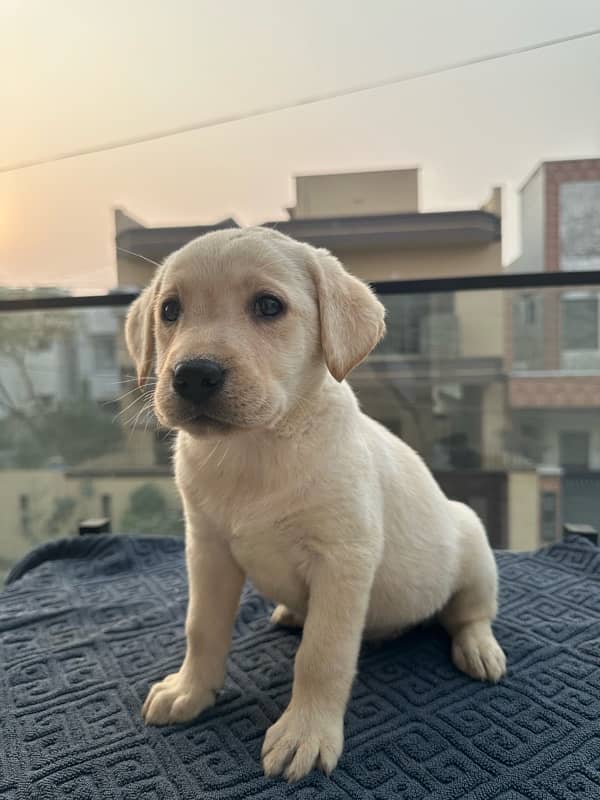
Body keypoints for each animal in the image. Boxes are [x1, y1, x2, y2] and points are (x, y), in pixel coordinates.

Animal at [126, 225, 506, 780]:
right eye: (170, 310)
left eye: (268, 306)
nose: (193, 375)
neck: (255, 449)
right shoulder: (207, 551)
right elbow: (202, 628)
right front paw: (190, 690)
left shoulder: (342, 560)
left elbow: (322, 655)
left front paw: (305, 731)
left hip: (474, 548)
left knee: (469, 613)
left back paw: (478, 647)